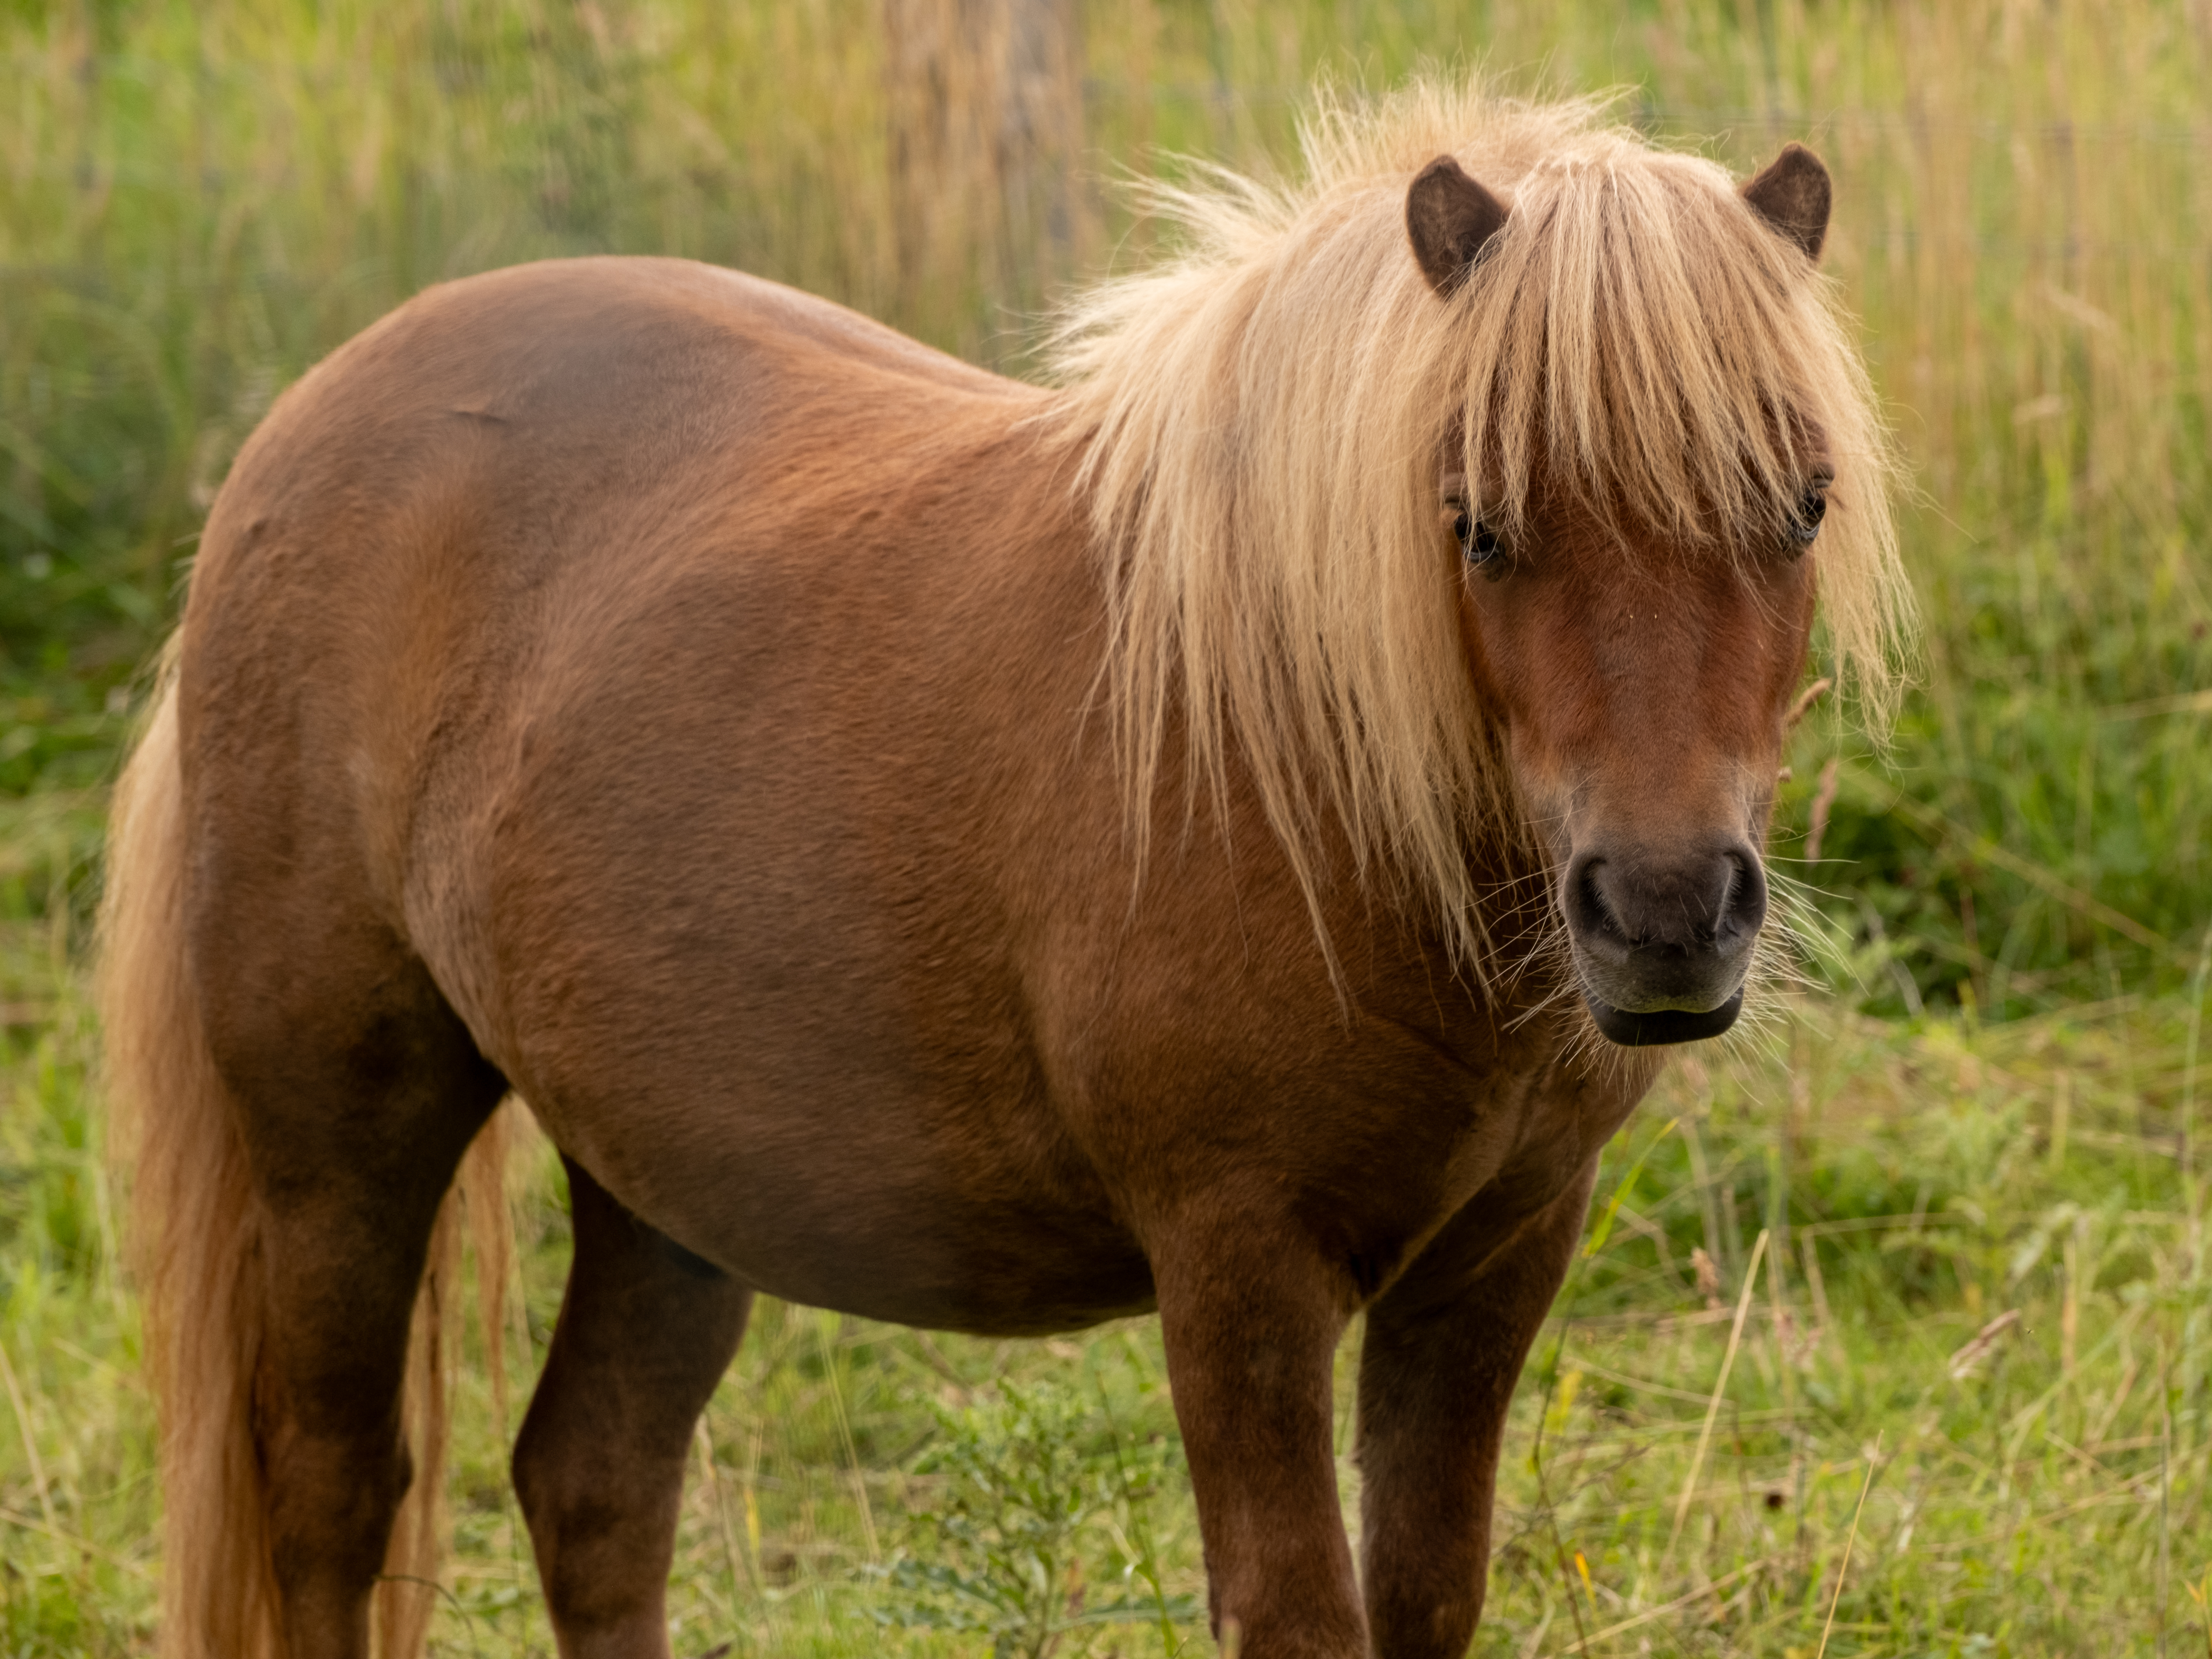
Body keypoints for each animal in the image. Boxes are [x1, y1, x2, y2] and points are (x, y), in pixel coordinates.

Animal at [100, 85, 1904, 1659]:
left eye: (1800, 506)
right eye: (1474, 524)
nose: (1663, 913)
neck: (1307, 773)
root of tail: (304, 425)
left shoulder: (1499, 1249)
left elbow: (1425, 1592)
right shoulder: (1237, 1262)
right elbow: (1294, 1605)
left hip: (661, 1181)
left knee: (594, 1480)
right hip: (343, 1137)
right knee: (331, 1490)